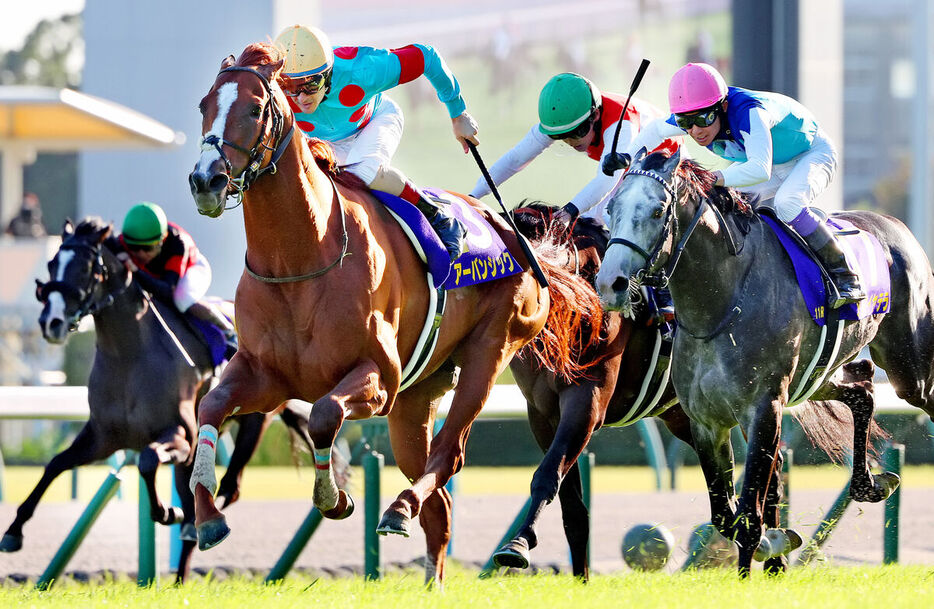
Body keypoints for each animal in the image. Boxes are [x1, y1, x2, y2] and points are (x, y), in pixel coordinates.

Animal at [0, 216, 314, 580]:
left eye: (87, 267)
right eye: (52, 264)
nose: (50, 322)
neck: (128, 355)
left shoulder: (179, 436)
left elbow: (148, 461)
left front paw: (167, 511)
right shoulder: (102, 438)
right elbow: (54, 465)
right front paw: (13, 531)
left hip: (253, 423)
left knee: (229, 488)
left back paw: (201, 522)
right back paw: (183, 566)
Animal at [188, 42, 600, 584]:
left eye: (255, 109)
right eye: (203, 106)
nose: (205, 181)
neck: (300, 258)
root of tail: (512, 233)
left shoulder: (379, 377)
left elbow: (323, 415)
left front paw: (335, 498)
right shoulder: (266, 375)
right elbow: (210, 408)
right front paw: (207, 517)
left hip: (489, 351)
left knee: (448, 455)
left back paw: (400, 508)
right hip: (418, 393)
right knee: (439, 503)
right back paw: (426, 569)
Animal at [494, 205, 700, 580]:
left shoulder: (587, 402)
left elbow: (548, 475)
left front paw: (518, 543)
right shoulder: (542, 414)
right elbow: (573, 508)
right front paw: (581, 579)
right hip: (681, 416)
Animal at [596, 148, 932, 576]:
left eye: (657, 211)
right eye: (611, 209)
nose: (610, 283)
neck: (720, 304)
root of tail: (894, 224)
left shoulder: (763, 408)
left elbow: (751, 510)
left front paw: (763, 555)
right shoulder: (705, 421)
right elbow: (726, 514)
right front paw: (775, 542)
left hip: (909, 368)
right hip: (814, 377)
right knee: (862, 387)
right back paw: (868, 483)